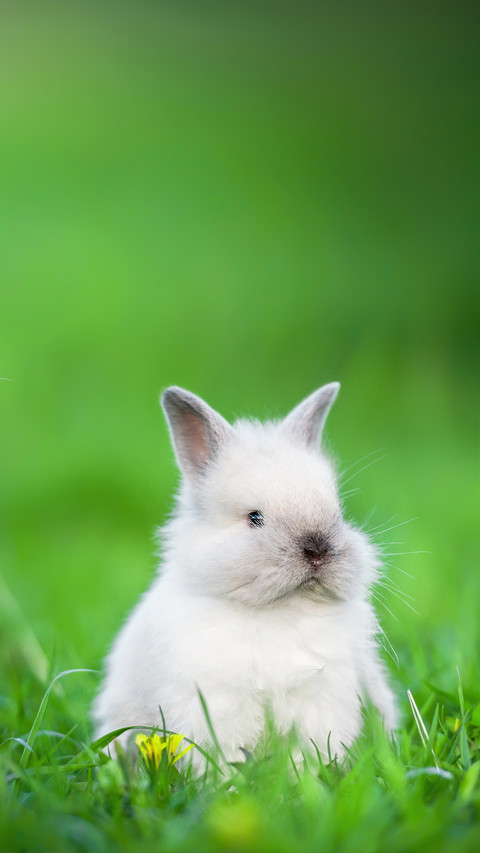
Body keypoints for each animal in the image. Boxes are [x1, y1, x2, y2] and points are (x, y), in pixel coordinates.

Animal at [93, 383, 398, 765]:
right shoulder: (213, 707)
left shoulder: (321, 703)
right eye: (255, 518)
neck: (278, 611)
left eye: (338, 513)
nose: (317, 550)